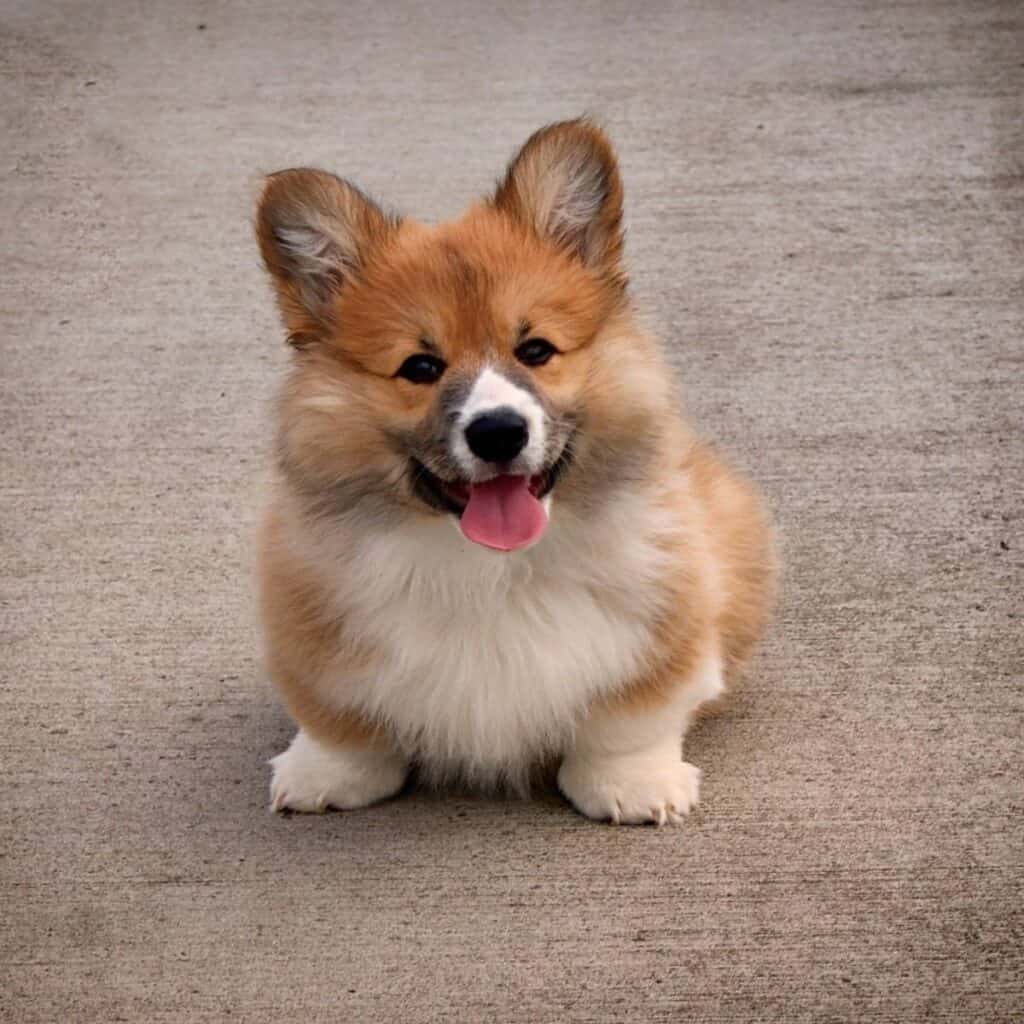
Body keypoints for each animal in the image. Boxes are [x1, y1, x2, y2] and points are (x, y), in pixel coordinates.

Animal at [256, 117, 774, 823]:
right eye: (420, 367)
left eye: (535, 350)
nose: (498, 431)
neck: (489, 570)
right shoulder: (310, 631)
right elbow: (340, 723)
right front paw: (325, 775)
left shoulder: (669, 620)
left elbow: (631, 717)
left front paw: (631, 784)